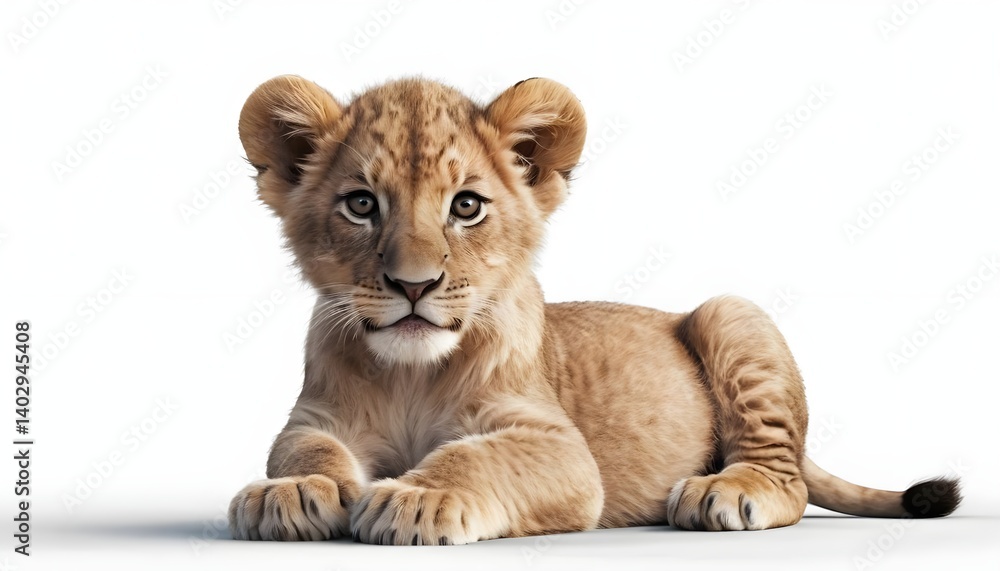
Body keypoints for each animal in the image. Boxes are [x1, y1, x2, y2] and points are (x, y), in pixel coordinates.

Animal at [227, 75, 960, 544]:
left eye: (466, 206)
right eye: (361, 204)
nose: (414, 285)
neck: (411, 373)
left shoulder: (560, 448)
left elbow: (476, 457)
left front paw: (418, 496)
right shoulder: (314, 418)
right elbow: (303, 451)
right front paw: (289, 493)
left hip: (730, 312)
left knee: (789, 479)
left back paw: (724, 490)